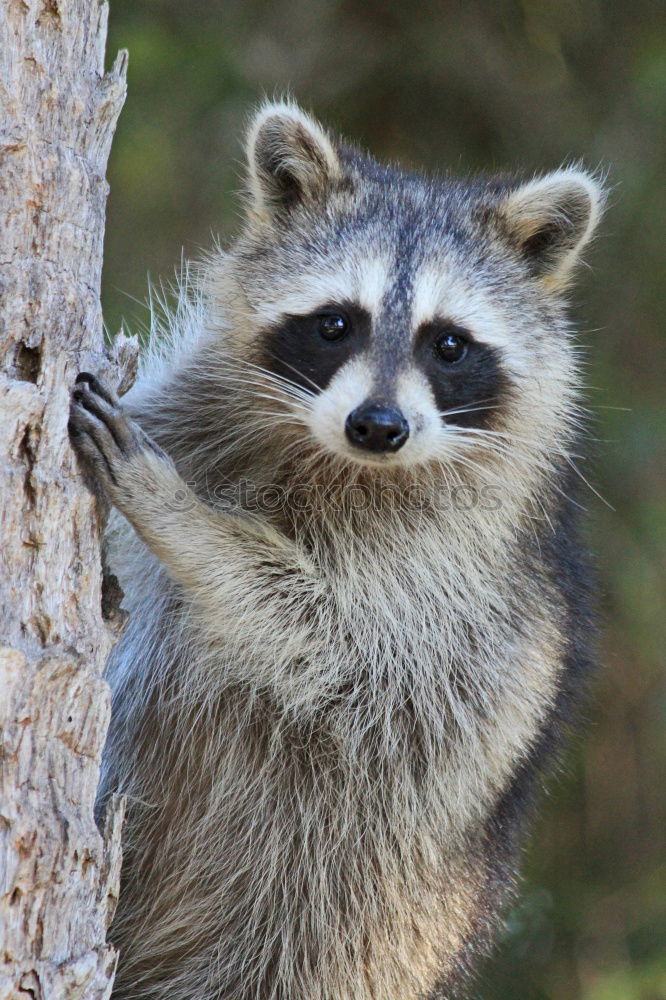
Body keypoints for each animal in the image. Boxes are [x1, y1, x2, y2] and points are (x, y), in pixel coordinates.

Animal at [67, 101, 600, 1000]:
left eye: (448, 344)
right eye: (335, 323)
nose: (377, 426)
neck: (334, 460)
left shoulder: (454, 574)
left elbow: (335, 640)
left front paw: (187, 523)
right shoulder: (199, 404)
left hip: (345, 927)